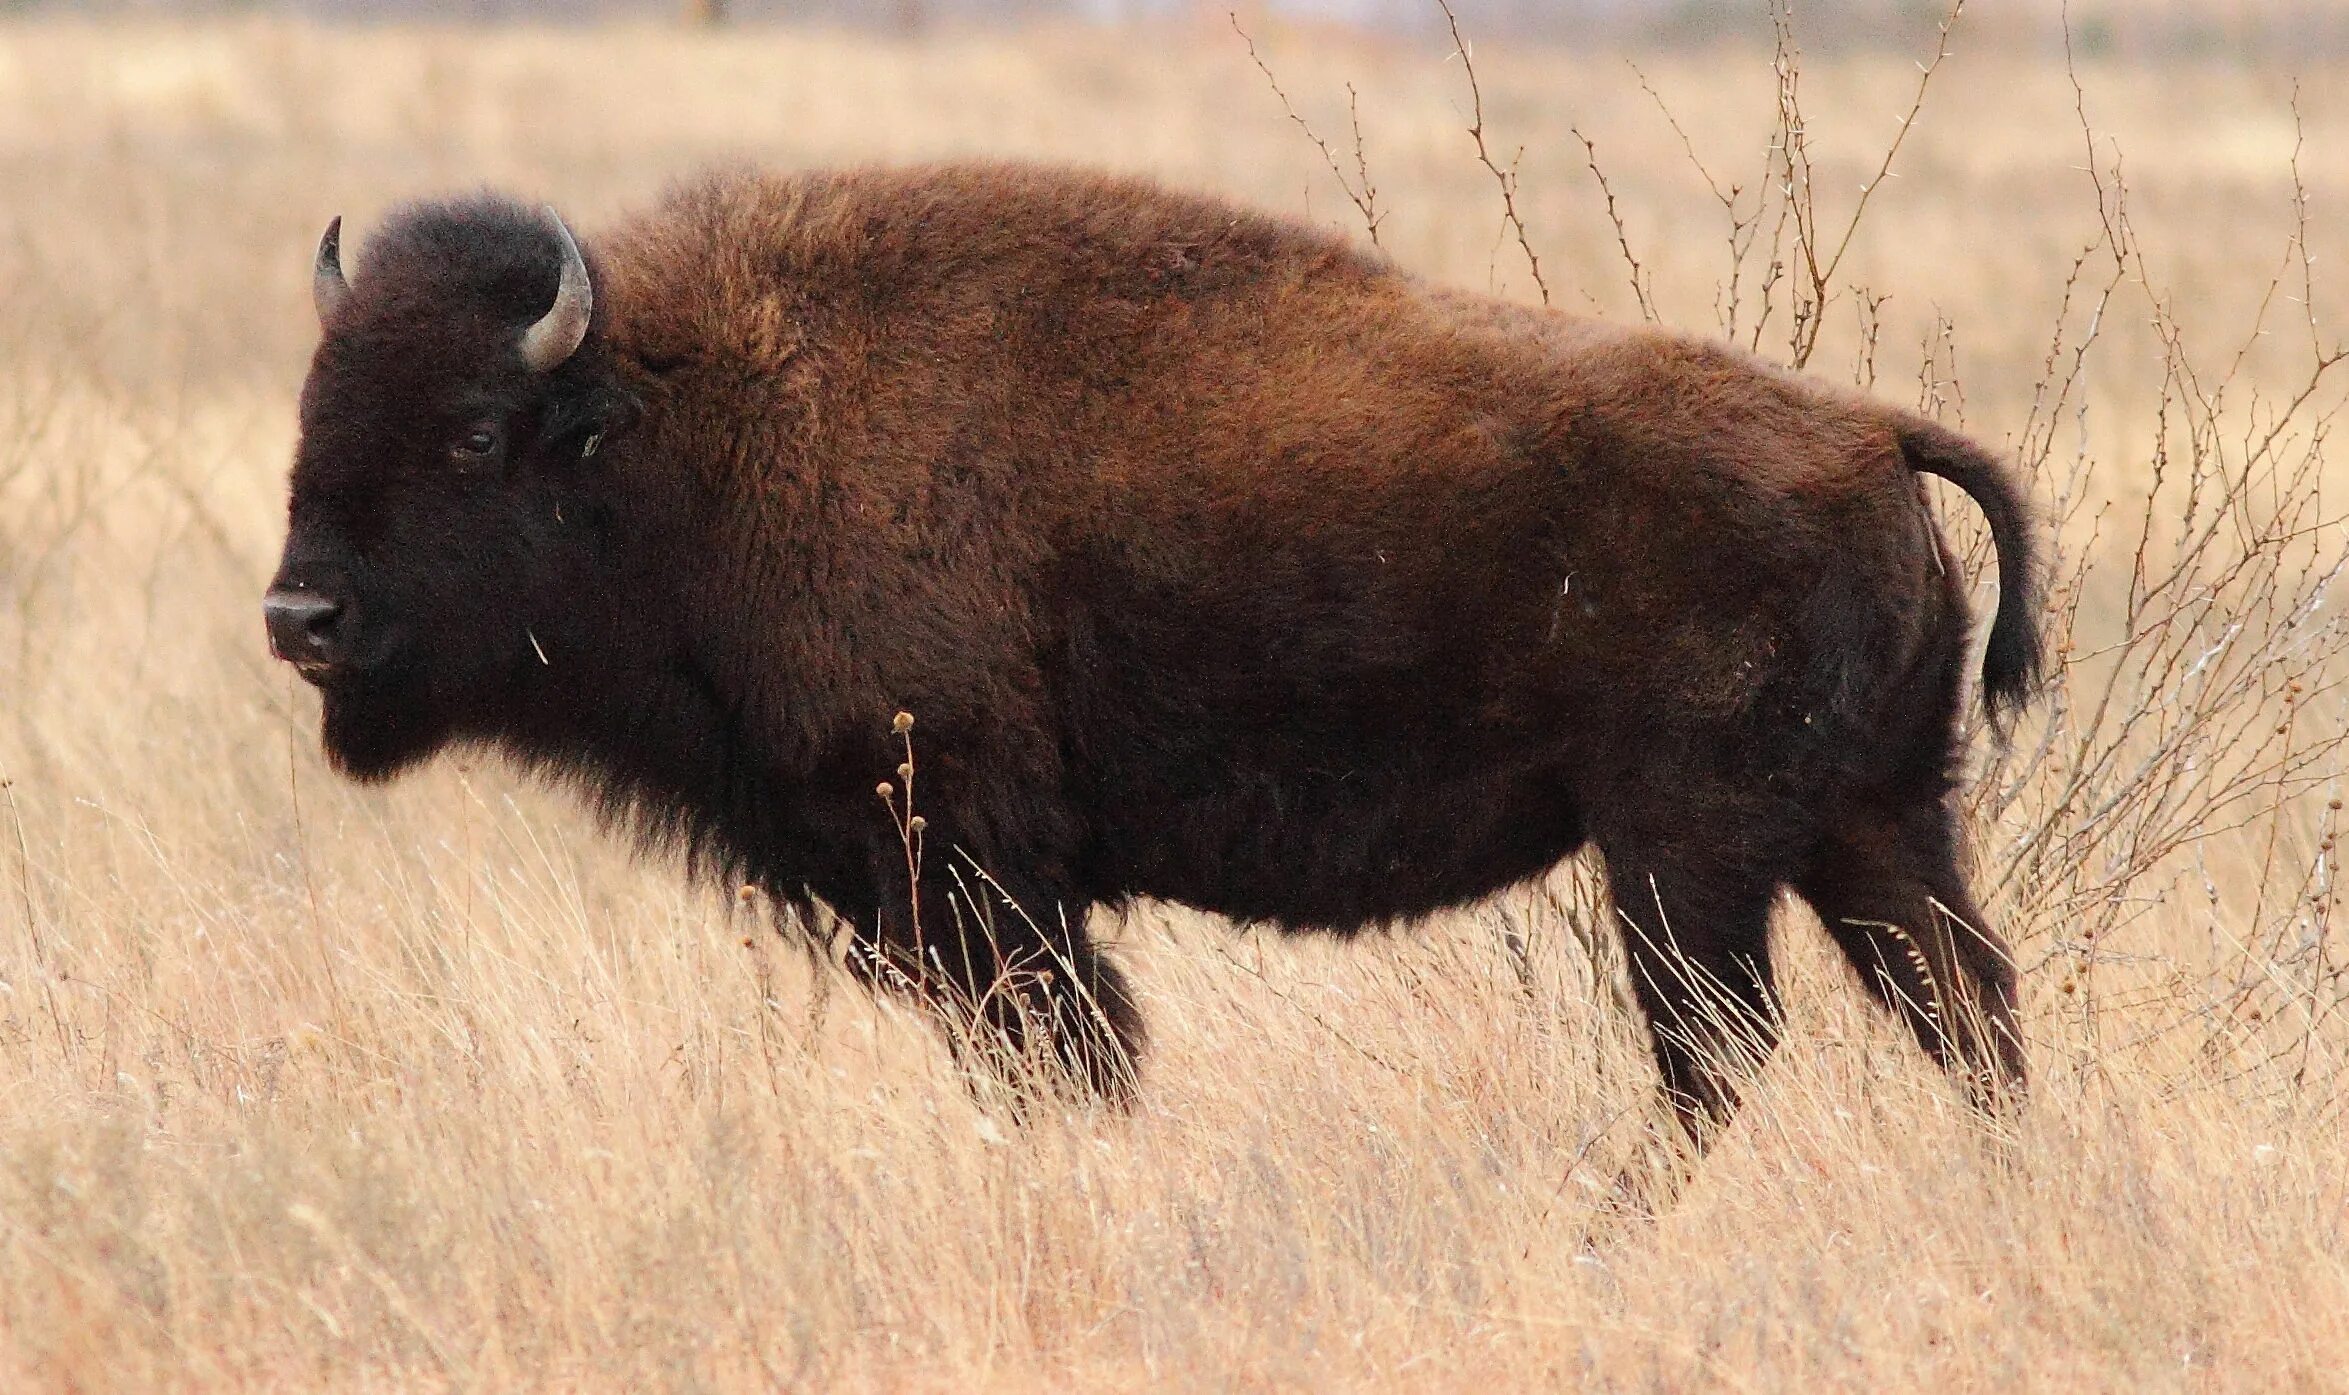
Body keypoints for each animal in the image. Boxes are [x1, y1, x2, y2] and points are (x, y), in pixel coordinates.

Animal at [270, 165, 2038, 1160]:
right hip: (1872, 824)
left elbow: (1072, 1047)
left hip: (1685, 850)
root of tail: (1870, 433)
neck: (691, 427)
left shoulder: (973, 867)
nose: (300, 619)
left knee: (1723, 1051)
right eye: (314, 411)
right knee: (1965, 1007)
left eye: (473, 432)